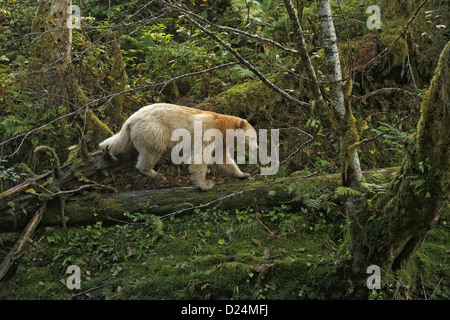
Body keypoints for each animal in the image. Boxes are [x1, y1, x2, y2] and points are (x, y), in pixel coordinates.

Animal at [100, 104, 258, 190]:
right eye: (253, 137)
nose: (256, 148)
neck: (220, 125)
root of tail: (131, 119)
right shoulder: (207, 133)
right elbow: (199, 157)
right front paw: (205, 184)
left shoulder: (220, 142)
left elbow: (223, 160)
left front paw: (243, 174)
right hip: (152, 131)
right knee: (152, 151)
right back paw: (152, 172)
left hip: (133, 132)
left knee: (120, 142)